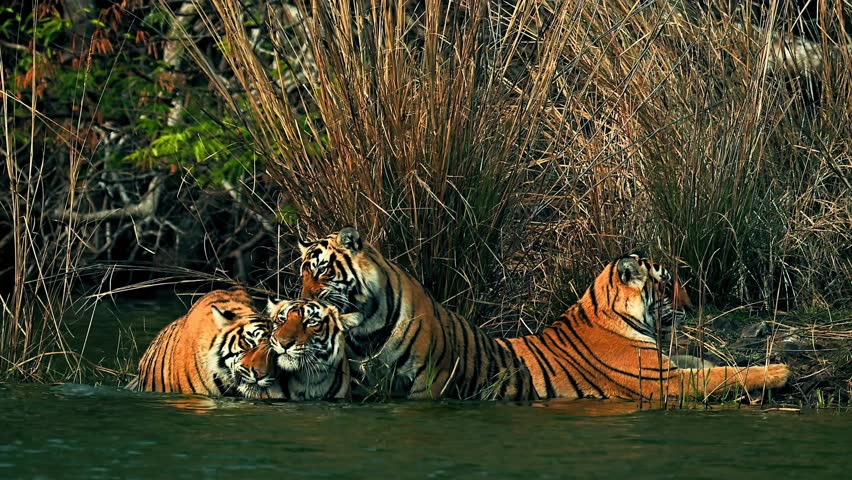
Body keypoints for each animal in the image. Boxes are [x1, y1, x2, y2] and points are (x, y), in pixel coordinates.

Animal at [297, 227, 790, 401]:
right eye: (669, 284)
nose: (691, 306)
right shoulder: (662, 382)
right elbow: (719, 375)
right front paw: (778, 371)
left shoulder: (666, 364)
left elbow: (707, 363)